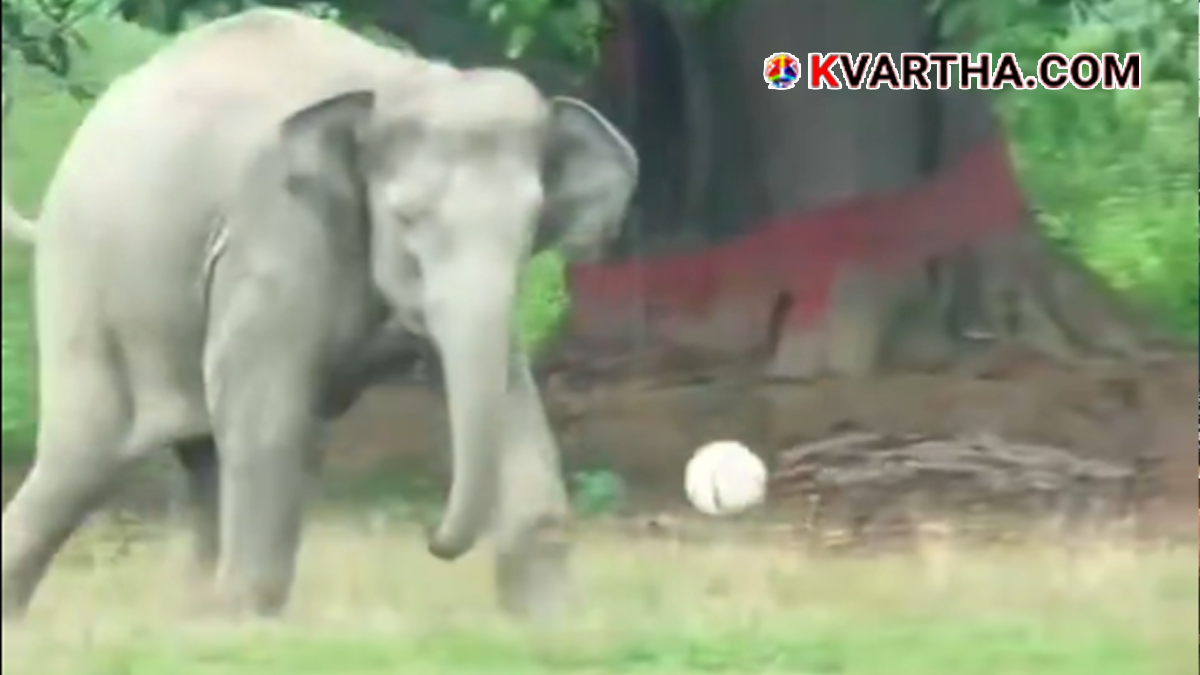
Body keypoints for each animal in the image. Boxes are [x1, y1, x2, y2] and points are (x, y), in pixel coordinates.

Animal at [0, 8, 637, 620]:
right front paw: (250, 627)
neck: (401, 81)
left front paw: (553, 623)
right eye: (407, 219)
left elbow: (511, 393)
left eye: (530, 224)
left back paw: (196, 617)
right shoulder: (276, 231)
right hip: (87, 287)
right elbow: (267, 411)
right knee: (85, 457)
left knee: (200, 458)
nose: (432, 542)